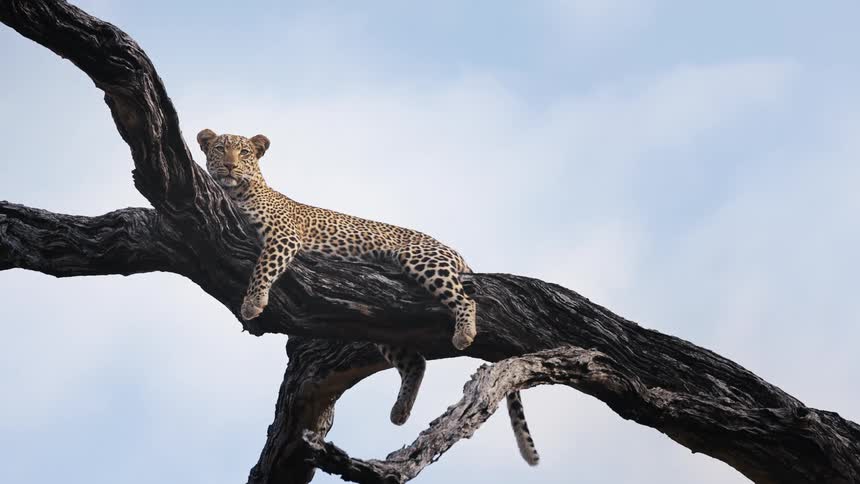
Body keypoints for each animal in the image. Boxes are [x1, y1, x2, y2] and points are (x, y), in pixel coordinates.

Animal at [197, 129, 539, 466]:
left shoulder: (284, 236)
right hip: (382, 319)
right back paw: (400, 411)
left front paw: (253, 303)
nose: (229, 166)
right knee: (415, 362)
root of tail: (455, 252)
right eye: (219, 149)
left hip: (418, 259)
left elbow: (263, 267)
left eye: (244, 152)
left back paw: (464, 333)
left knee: (466, 300)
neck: (239, 192)